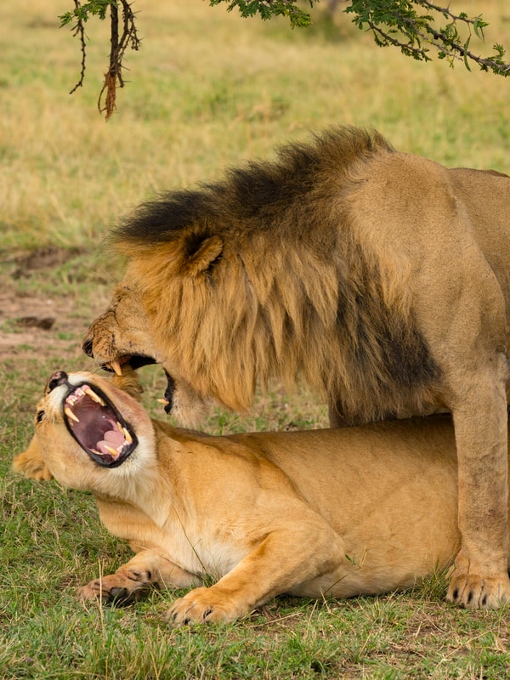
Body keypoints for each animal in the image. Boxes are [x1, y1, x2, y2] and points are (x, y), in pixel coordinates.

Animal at [15, 370, 510, 622]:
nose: (58, 375)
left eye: (92, 369)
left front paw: (204, 606)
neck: (147, 495)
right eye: (39, 416)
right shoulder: (186, 561)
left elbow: (251, 573)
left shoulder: (309, 533)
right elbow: (149, 562)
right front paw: (114, 584)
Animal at [81, 126, 510, 608]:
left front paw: (480, 580)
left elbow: (481, 489)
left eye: (119, 300)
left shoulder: (478, 376)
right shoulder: (356, 391)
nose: (85, 344)